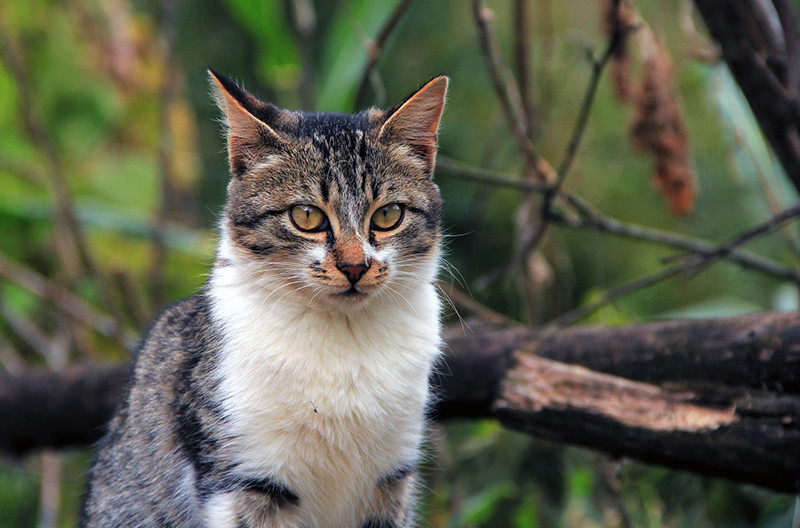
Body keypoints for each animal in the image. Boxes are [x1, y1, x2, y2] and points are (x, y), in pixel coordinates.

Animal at [80, 71, 450, 528]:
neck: (343, 341)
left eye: (388, 215)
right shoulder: (243, 474)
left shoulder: (392, 477)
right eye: (306, 216)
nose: (354, 266)